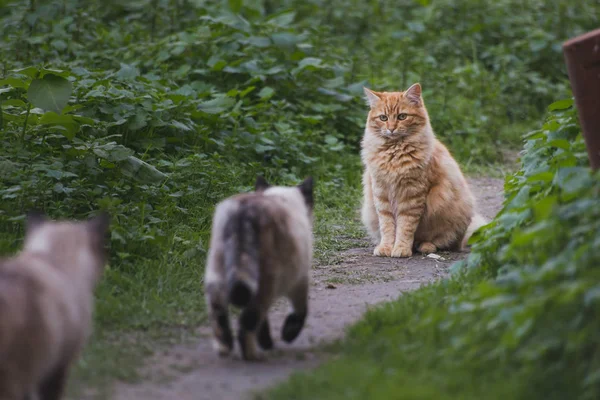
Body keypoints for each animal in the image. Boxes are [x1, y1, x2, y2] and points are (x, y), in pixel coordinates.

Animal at [204, 177, 314, 360]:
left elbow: (264, 323)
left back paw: (224, 347)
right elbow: (300, 312)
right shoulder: (299, 280)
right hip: (267, 283)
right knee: (247, 321)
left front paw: (266, 342)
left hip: (217, 274)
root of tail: (243, 212)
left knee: (219, 314)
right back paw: (252, 355)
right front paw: (284, 337)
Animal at [358, 83, 486, 258]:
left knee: (443, 242)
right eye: (383, 118)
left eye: (402, 116)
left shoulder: (412, 196)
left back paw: (425, 246)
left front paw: (401, 249)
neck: (393, 154)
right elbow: (387, 227)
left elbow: (405, 228)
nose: (391, 129)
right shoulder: (381, 193)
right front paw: (386, 247)